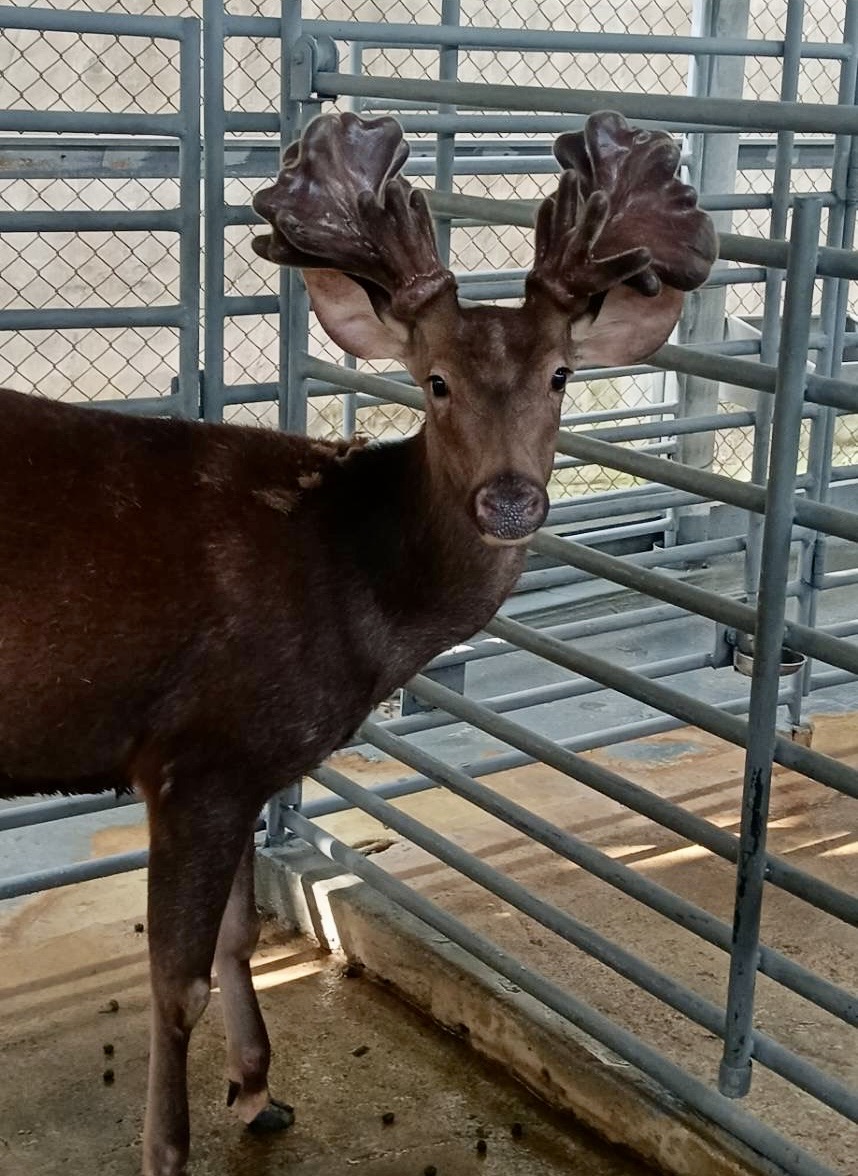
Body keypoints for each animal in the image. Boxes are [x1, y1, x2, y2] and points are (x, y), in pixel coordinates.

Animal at [0, 109, 715, 1175]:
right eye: (436, 381)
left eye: (560, 374)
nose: (510, 498)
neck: (352, 591)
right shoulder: (196, 751)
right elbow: (175, 980)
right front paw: (168, 1148)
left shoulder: (246, 767)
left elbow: (238, 939)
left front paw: (259, 1090)